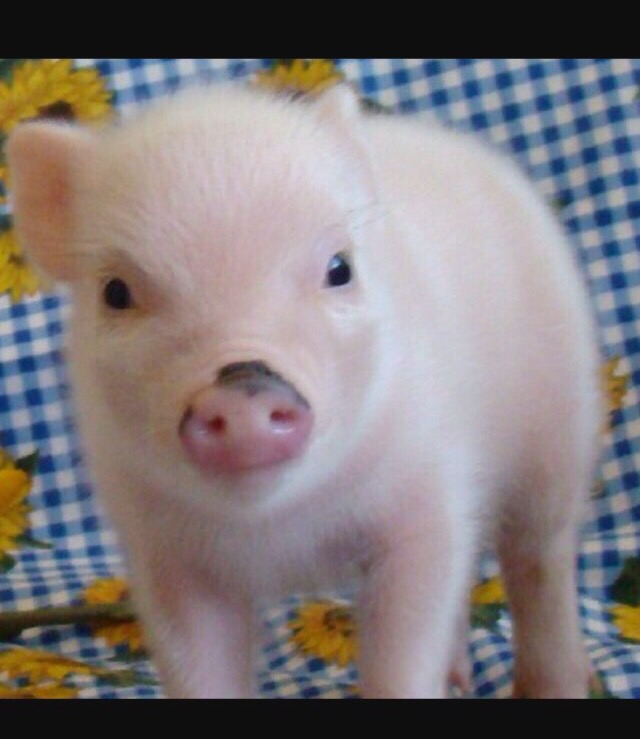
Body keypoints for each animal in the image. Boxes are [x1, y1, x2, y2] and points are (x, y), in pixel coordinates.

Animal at [6, 82, 601, 699]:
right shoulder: (165, 555)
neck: (281, 535)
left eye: (339, 269)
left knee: (541, 560)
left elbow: (406, 646)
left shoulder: (424, 497)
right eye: (116, 292)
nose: (243, 385)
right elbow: (200, 664)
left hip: (561, 423)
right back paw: (459, 678)